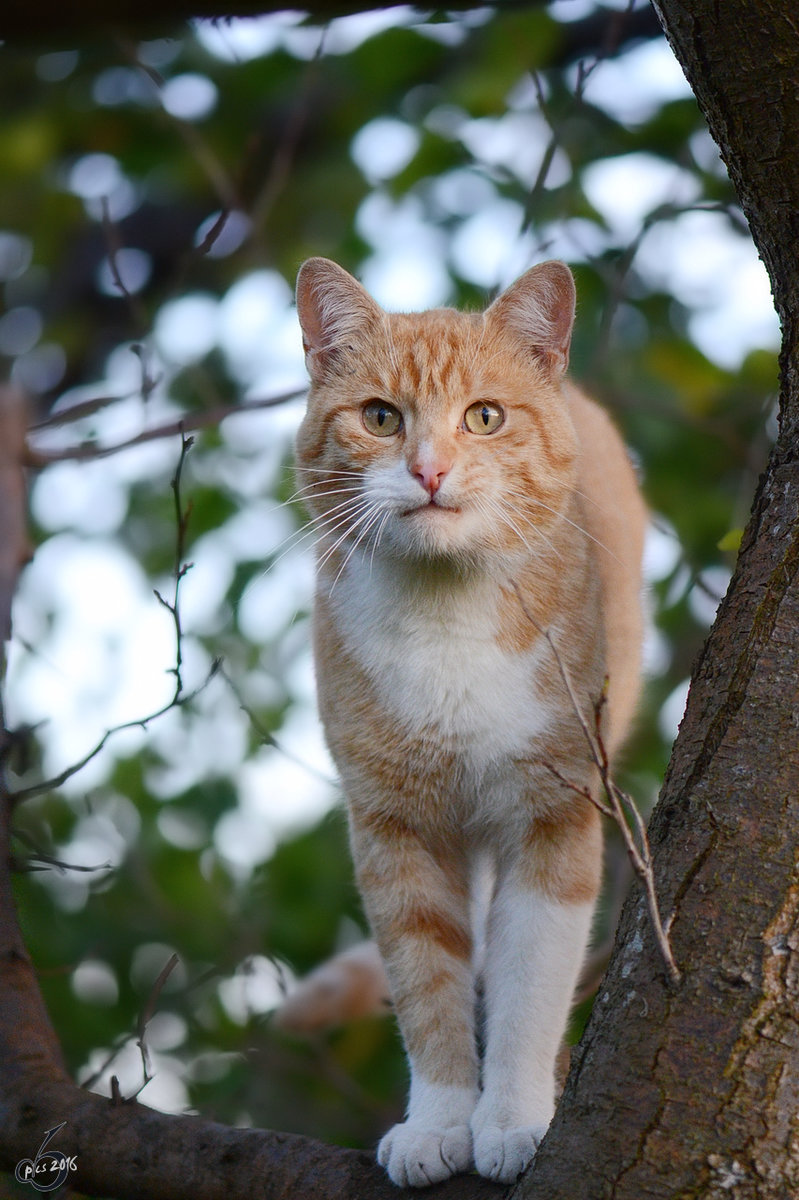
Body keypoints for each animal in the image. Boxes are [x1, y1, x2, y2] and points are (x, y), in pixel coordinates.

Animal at [292, 258, 647, 1185]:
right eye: (380, 417)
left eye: (483, 416)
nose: (429, 471)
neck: (446, 614)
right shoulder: (396, 831)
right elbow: (426, 983)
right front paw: (439, 1123)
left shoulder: (551, 817)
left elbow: (530, 985)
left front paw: (515, 1119)